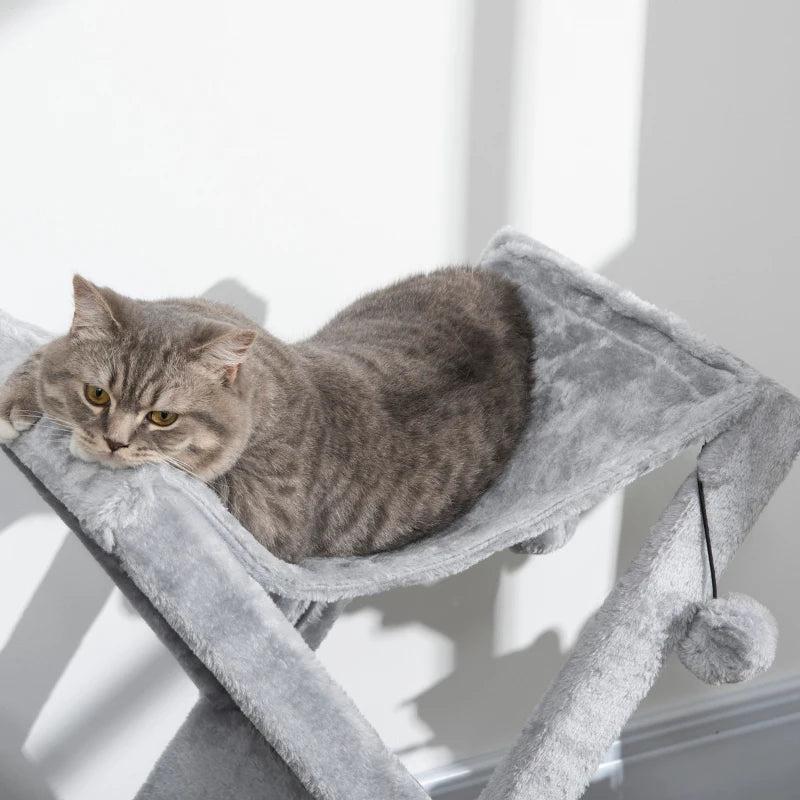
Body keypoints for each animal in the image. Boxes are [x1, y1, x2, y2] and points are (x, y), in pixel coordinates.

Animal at [0, 268, 532, 564]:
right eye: (97, 394)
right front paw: (19, 396)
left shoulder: (268, 515)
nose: (113, 441)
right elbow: (45, 354)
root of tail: (511, 288)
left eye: (163, 417)